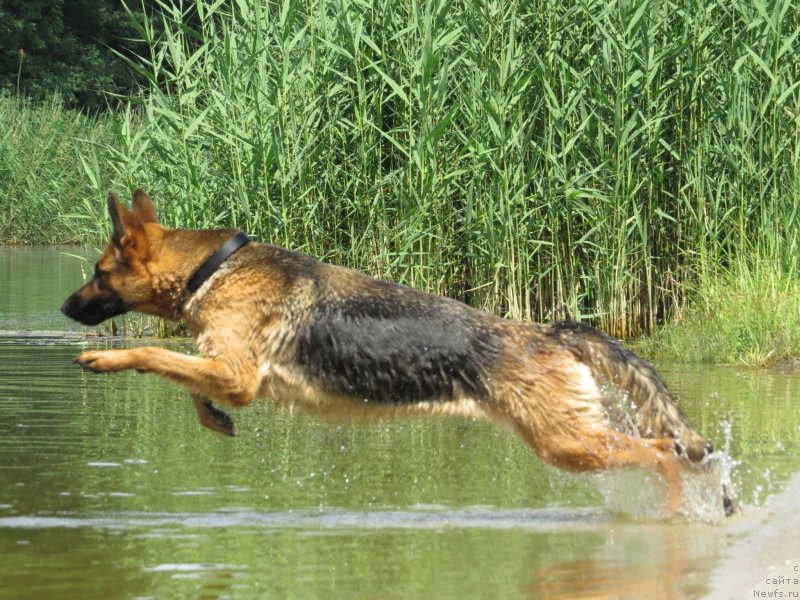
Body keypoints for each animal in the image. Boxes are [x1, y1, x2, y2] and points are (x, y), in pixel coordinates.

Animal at [62, 191, 736, 516]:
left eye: (97, 273)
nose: (65, 308)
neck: (212, 268)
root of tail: (547, 332)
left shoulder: (237, 374)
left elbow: (153, 353)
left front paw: (104, 361)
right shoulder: (230, 372)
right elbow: (189, 380)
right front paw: (213, 419)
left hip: (570, 445)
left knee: (664, 454)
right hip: (575, 439)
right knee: (666, 448)